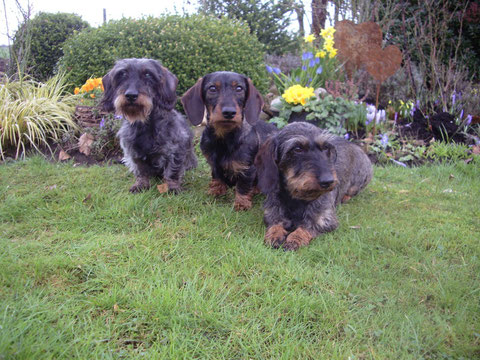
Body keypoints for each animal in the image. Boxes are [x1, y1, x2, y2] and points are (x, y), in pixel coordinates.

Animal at [101, 59, 197, 194]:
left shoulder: (176, 150)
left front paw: (172, 187)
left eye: (148, 74)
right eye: (122, 74)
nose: (131, 95)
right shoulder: (133, 151)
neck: (145, 124)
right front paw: (141, 185)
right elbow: (140, 170)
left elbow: (172, 171)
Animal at [181, 71, 278, 210]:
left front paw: (241, 203)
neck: (224, 138)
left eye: (239, 88)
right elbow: (217, 177)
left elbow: (243, 186)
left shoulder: (247, 169)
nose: (229, 112)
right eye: (212, 88)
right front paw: (216, 190)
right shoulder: (214, 164)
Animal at [253, 122, 374, 252]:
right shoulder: (271, 212)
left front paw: (294, 239)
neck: (297, 198)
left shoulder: (325, 219)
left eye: (325, 147)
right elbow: (275, 223)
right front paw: (275, 234)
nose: (328, 181)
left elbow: (307, 226)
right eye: (297, 149)